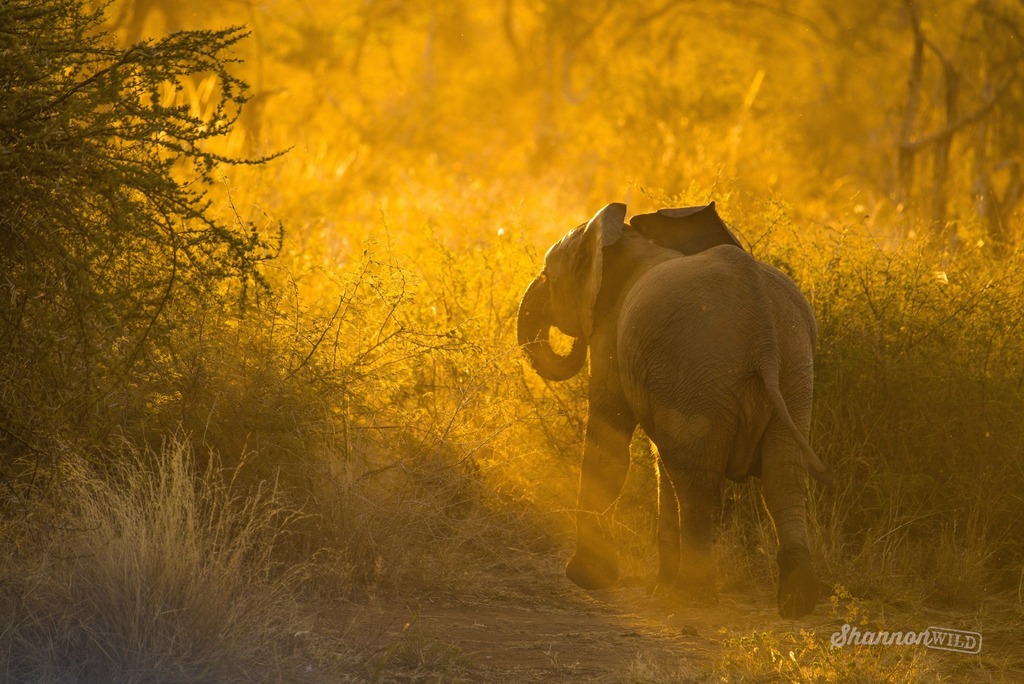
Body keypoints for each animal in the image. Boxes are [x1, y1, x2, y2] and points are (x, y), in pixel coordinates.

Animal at [516, 202, 829, 618]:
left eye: (547, 275)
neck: (624, 239)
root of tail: (762, 326)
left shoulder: (612, 339)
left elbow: (608, 440)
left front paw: (587, 578)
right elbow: (659, 461)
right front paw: (657, 589)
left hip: (704, 365)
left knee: (697, 481)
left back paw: (693, 596)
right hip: (792, 371)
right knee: (782, 476)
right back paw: (797, 601)